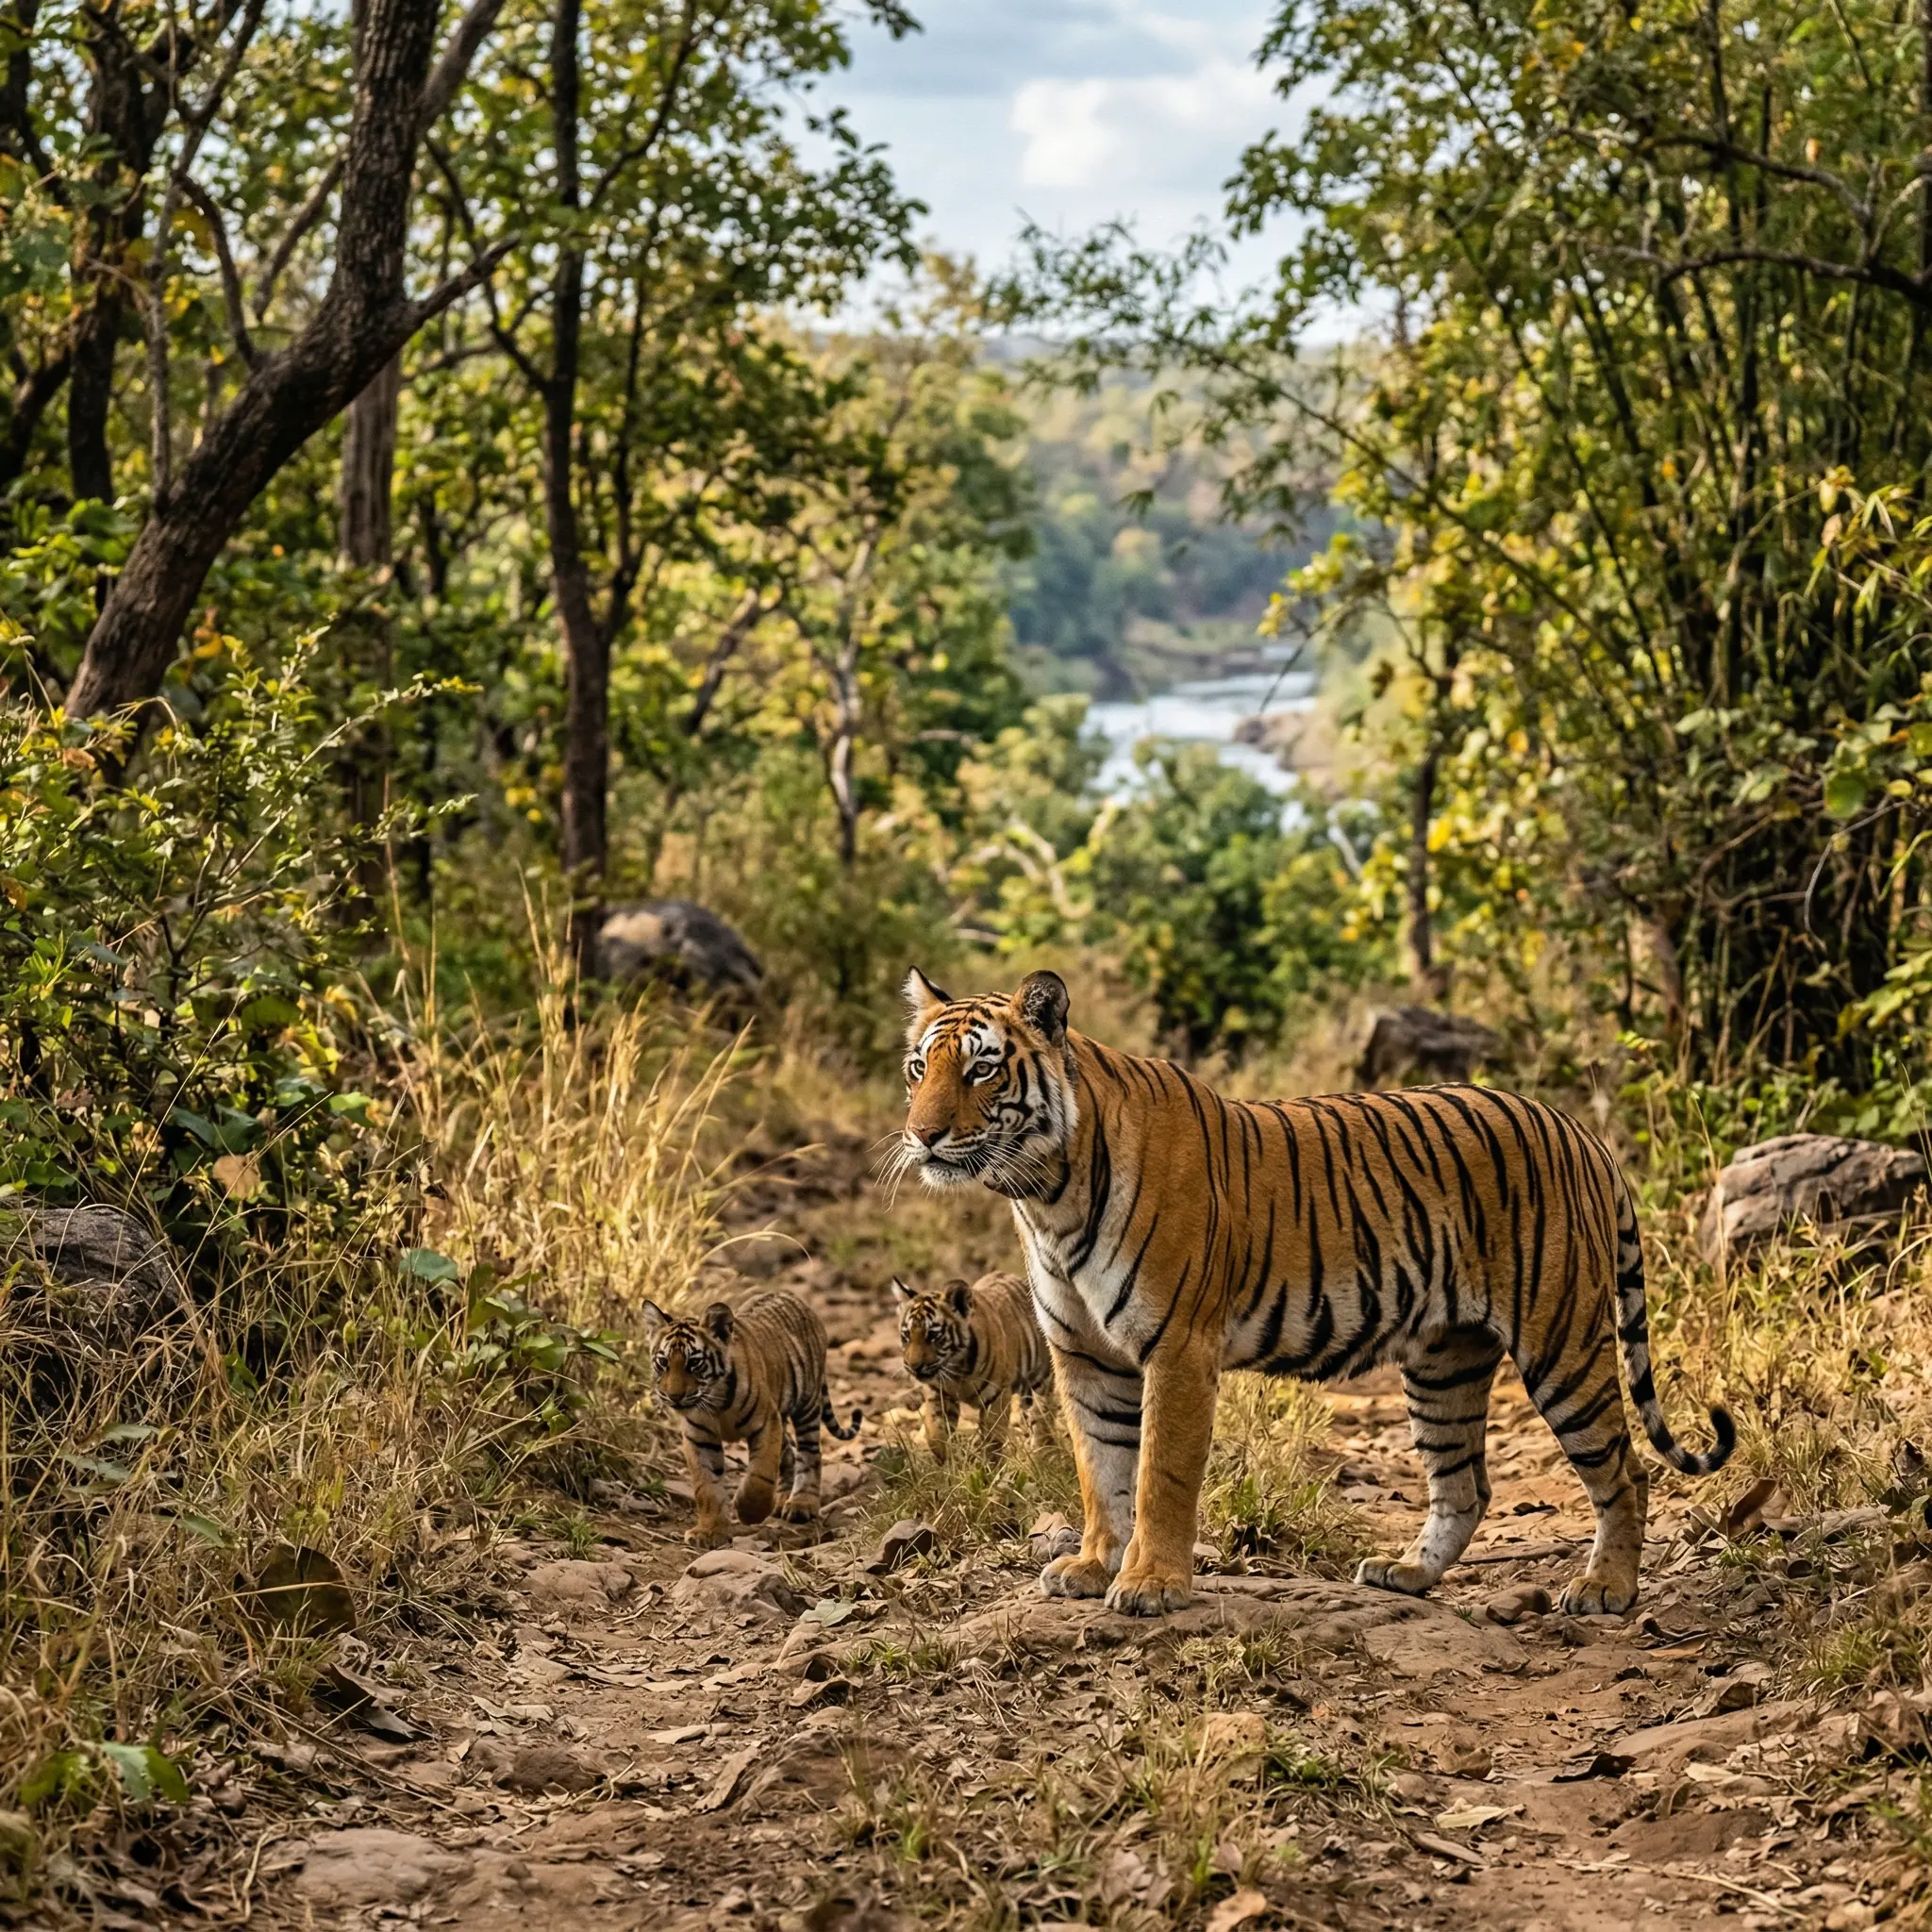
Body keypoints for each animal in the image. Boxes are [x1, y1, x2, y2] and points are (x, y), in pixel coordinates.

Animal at [640, 1289, 861, 1548]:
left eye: (694, 1363)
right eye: (663, 1362)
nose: (674, 1396)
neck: (715, 1402)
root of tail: (791, 1296)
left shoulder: (766, 1423)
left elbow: (760, 1475)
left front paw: (749, 1512)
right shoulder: (699, 1437)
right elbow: (707, 1487)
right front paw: (708, 1532)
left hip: (807, 1402)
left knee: (810, 1453)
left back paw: (801, 1504)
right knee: (789, 1452)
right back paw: (782, 1499)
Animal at [890, 1270, 1053, 1456]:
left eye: (932, 1335)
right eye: (907, 1335)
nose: (913, 1367)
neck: (956, 1370)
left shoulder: (996, 1395)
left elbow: (992, 1438)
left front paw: (986, 1461)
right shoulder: (938, 1393)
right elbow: (936, 1435)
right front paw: (948, 1460)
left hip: (1040, 1380)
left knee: (1042, 1418)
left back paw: (1041, 1452)